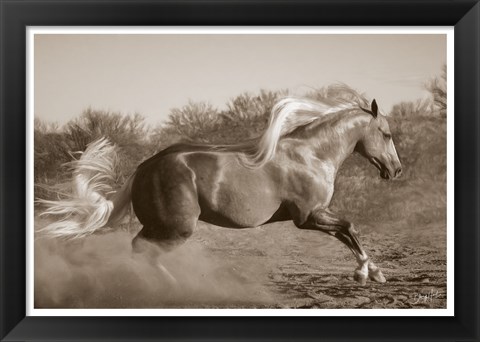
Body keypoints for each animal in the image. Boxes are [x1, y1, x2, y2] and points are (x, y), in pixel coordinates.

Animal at [39, 84, 404, 284]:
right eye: (386, 134)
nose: (396, 170)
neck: (312, 154)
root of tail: (145, 166)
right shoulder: (308, 216)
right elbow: (350, 227)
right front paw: (365, 273)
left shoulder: (317, 215)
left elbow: (347, 234)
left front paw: (374, 272)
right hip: (177, 228)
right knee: (143, 251)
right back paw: (173, 288)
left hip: (161, 226)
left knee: (138, 250)